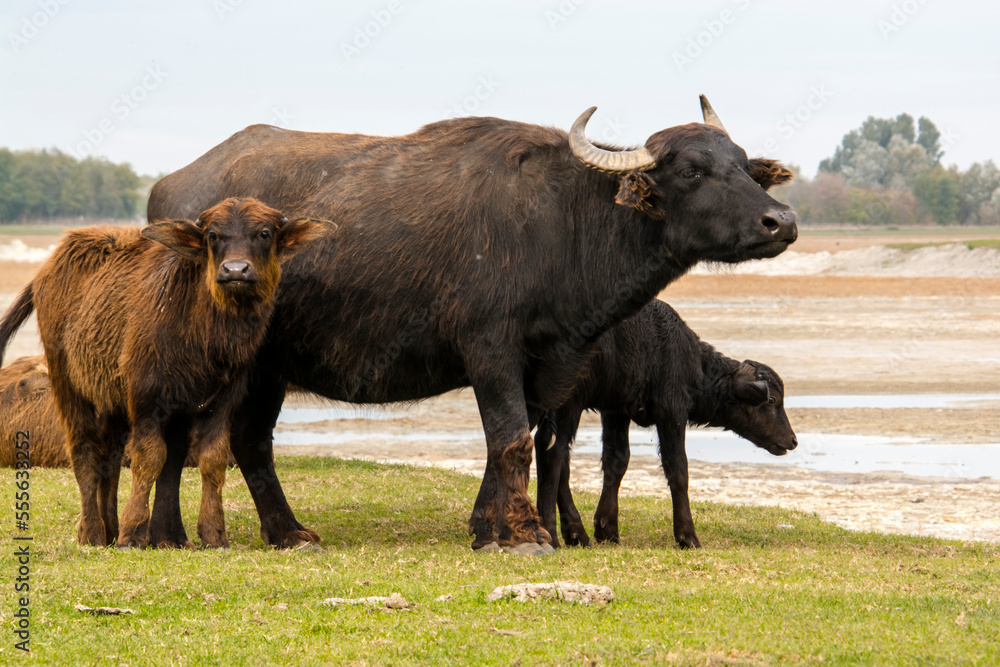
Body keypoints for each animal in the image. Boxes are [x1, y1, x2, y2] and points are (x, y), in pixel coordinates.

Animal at [0, 198, 320, 548]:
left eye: (264, 233)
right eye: (213, 236)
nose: (235, 270)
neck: (204, 332)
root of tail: (49, 267)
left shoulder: (222, 400)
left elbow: (212, 458)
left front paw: (213, 534)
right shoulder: (146, 397)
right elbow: (150, 457)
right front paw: (133, 533)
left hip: (111, 400)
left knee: (109, 457)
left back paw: (110, 527)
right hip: (67, 383)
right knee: (83, 449)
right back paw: (93, 532)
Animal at [146, 95, 796, 552]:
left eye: (744, 167)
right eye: (691, 171)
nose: (781, 222)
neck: (564, 224)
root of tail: (169, 194)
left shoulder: (549, 366)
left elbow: (514, 443)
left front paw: (489, 527)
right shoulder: (491, 350)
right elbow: (510, 440)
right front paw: (527, 536)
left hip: (271, 368)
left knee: (251, 441)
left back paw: (286, 533)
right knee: (197, 440)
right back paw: (180, 535)